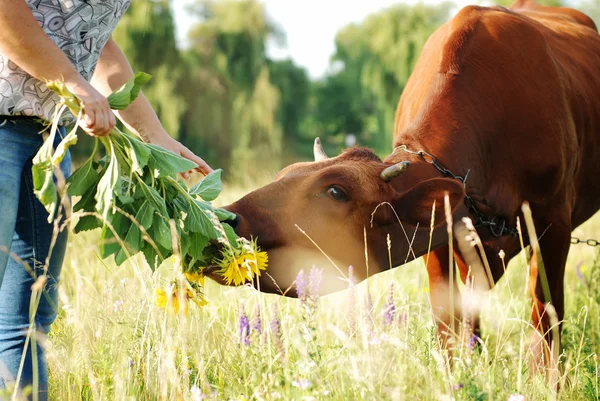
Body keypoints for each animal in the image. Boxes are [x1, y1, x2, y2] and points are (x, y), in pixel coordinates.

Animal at [220, 0, 600, 376]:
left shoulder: (554, 223)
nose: (229, 219)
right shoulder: (439, 238)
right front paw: (456, 375)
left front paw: (548, 380)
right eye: (286, 172)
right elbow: (448, 317)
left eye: (336, 192)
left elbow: (546, 313)